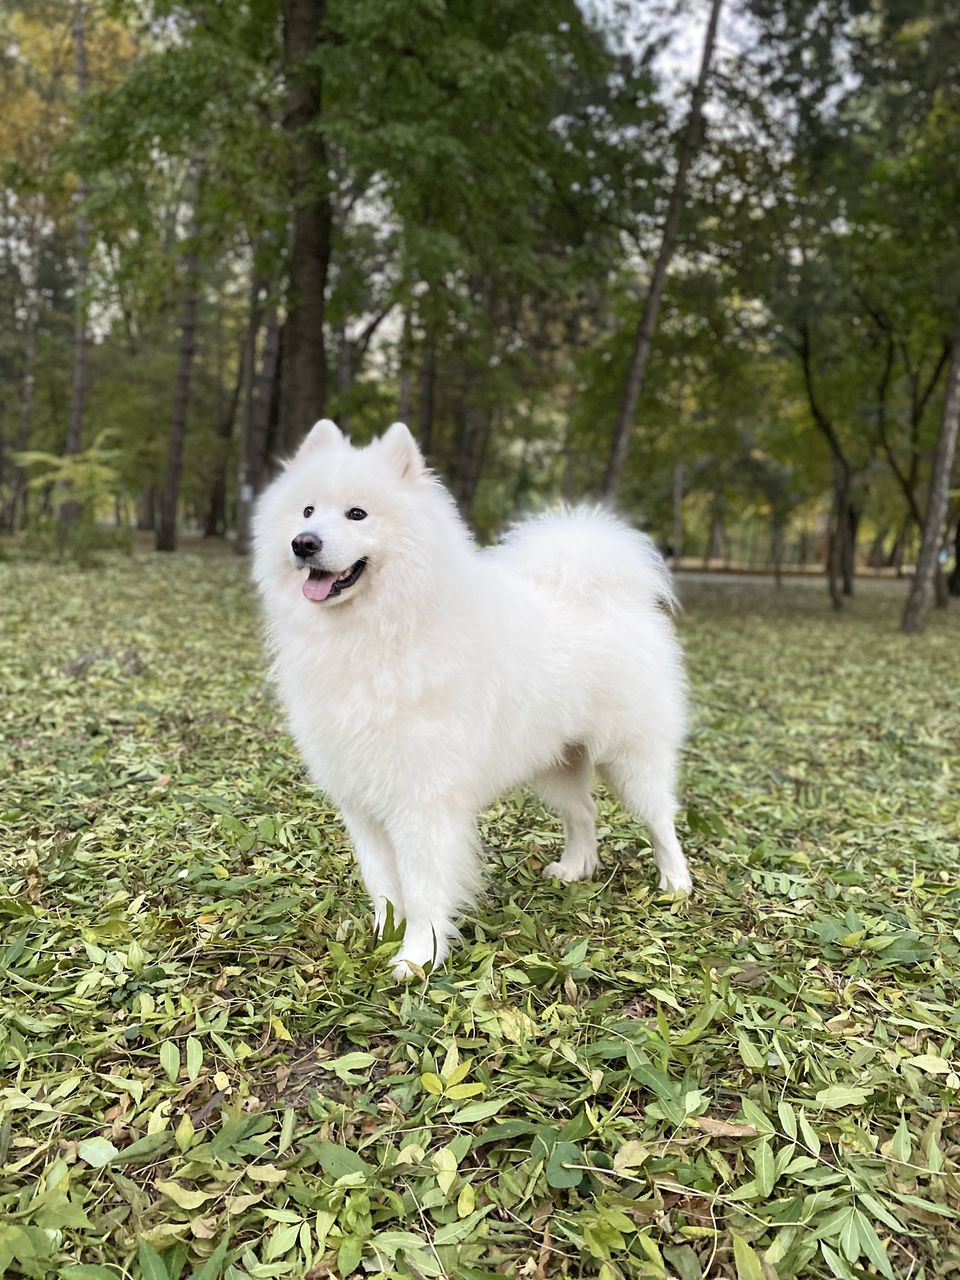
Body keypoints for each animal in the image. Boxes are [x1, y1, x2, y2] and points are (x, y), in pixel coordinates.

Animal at [253, 419, 691, 977]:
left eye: (357, 514)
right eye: (307, 511)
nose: (303, 543)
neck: (380, 631)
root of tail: (609, 595)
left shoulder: (421, 800)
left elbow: (422, 888)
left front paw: (418, 957)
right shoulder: (360, 797)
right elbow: (382, 882)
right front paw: (383, 936)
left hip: (630, 758)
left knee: (660, 818)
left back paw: (676, 882)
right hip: (555, 764)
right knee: (584, 812)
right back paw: (576, 867)